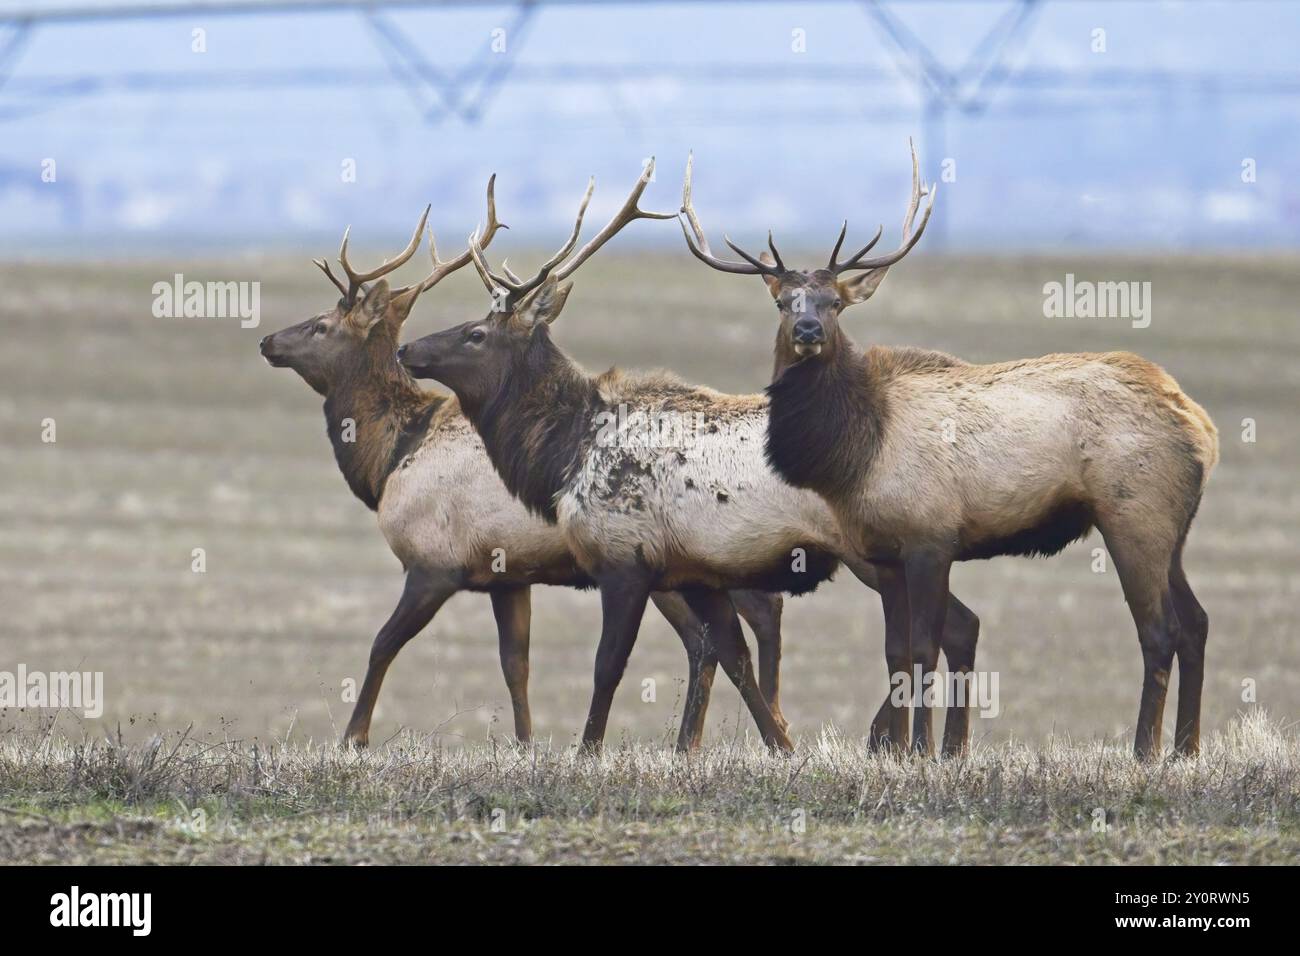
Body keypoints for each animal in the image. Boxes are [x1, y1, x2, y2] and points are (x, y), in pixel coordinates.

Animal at [252, 175, 780, 749]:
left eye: (321, 326)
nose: (267, 340)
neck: (390, 456)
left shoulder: (434, 563)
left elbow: (381, 645)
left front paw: (354, 738)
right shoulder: (507, 576)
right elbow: (515, 666)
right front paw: (525, 745)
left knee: (720, 637)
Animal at [397, 166, 982, 764]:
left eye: (476, 333)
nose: (406, 349)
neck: (564, 454)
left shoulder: (626, 560)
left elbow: (608, 666)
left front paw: (587, 753)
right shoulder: (697, 572)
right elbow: (735, 660)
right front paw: (783, 748)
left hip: (886, 548)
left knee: (938, 630)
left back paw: (919, 746)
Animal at [681, 141, 1216, 759]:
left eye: (835, 302)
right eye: (783, 303)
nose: (809, 330)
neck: (854, 454)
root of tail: (1202, 428)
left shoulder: (931, 538)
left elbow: (923, 648)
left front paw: (920, 749)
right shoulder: (883, 553)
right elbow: (896, 653)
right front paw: (911, 749)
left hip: (1135, 517)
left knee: (1160, 630)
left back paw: (1145, 749)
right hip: (1173, 530)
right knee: (1197, 622)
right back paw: (1185, 748)